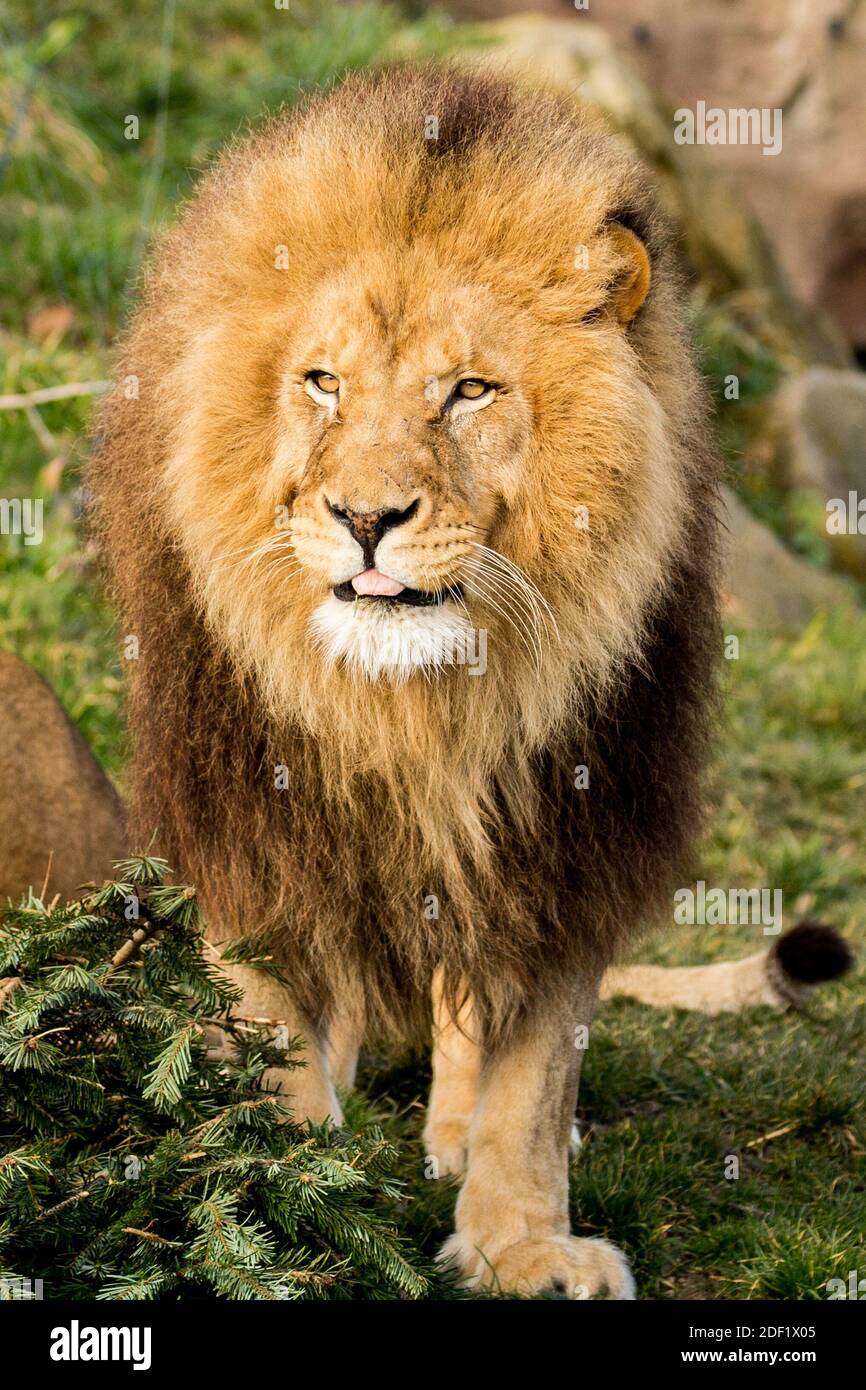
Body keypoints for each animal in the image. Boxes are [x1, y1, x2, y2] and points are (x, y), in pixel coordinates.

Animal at [86, 65, 828, 1295]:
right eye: (322, 382)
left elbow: (530, 1072)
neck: (417, 702)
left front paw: (520, 1239)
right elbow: (269, 1014)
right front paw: (287, 1188)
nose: (365, 518)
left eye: (470, 391)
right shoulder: (248, 807)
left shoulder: (569, 827)